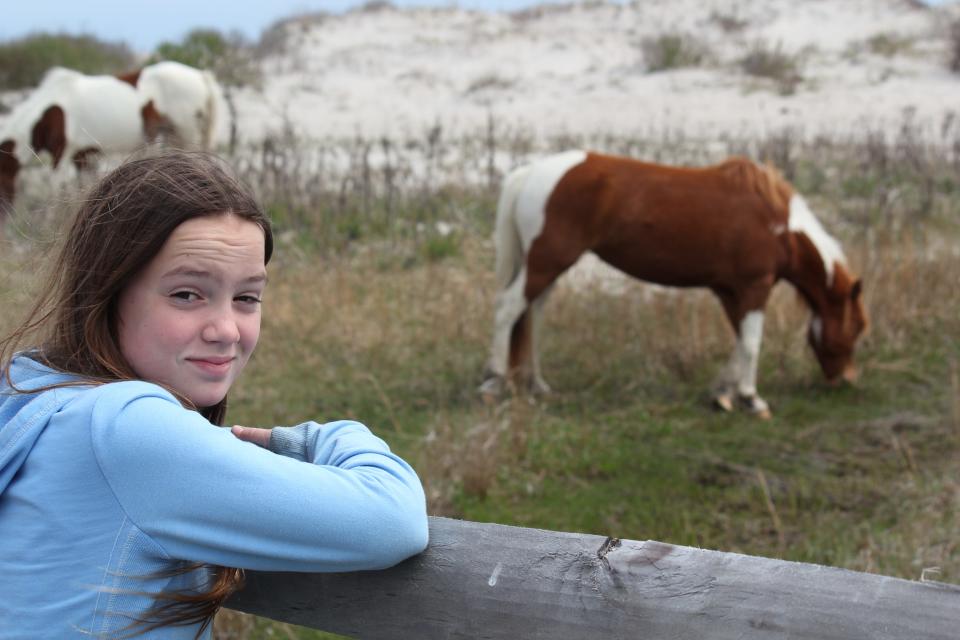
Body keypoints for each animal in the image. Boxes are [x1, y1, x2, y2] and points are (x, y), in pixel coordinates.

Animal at [480, 152, 872, 418]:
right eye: (855, 329)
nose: (847, 380)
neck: (778, 226)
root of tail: (532, 172)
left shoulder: (731, 291)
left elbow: (739, 342)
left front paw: (723, 393)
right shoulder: (754, 288)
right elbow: (751, 343)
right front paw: (750, 398)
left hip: (549, 267)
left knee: (532, 316)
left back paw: (536, 384)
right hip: (546, 262)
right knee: (507, 309)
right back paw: (495, 380)